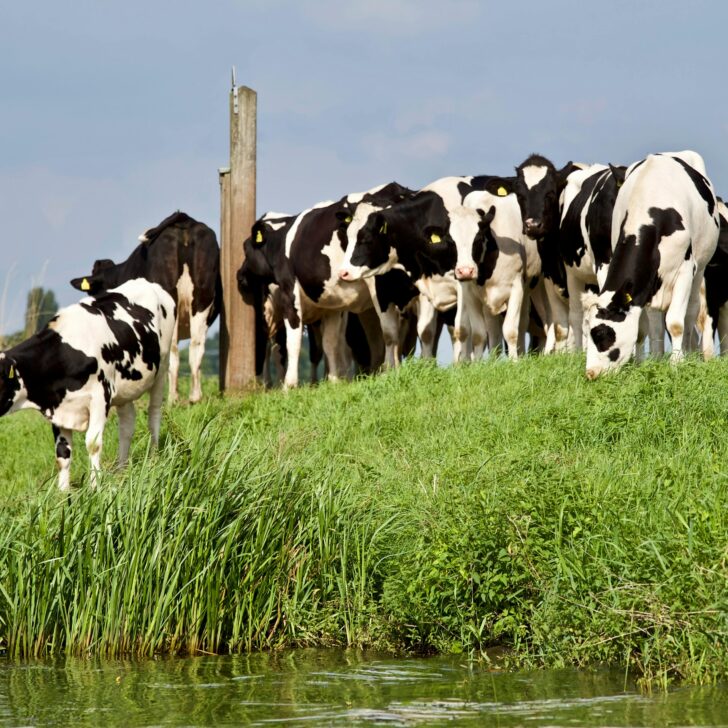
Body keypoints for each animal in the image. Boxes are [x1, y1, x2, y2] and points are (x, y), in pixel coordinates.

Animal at [0, 278, 175, 490]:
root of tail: (145, 281)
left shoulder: (100, 396)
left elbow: (93, 443)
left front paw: (95, 487)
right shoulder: (59, 407)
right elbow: (62, 453)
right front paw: (63, 492)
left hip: (162, 368)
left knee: (154, 414)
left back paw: (154, 458)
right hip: (125, 390)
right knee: (127, 425)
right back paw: (121, 471)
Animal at [70, 210, 220, 404]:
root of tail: (184, 220)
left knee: (172, 349)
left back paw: (172, 399)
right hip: (202, 300)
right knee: (196, 346)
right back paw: (195, 397)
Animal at [584, 151, 720, 378]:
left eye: (602, 334)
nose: (591, 373)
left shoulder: (685, 270)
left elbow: (675, 323)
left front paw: (677, 363)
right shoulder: (643, 286)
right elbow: (641, 330)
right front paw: (641, 365)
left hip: (700, 268)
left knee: (691, 312)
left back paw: (688, 352)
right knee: (656, 322)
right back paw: (656, 356)